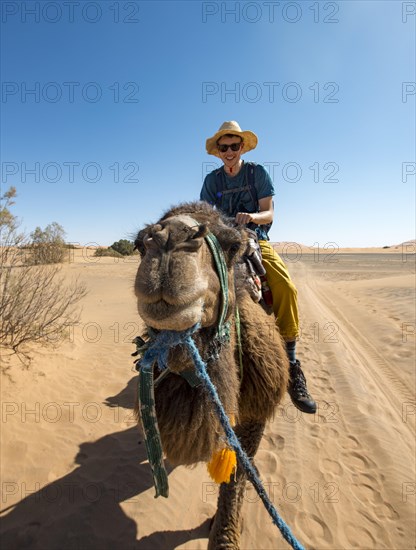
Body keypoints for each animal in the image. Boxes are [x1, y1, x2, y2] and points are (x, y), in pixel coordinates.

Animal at [133, 203, 290, 550]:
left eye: (231, 246)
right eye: (138, 244)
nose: (168, 240)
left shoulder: (256, 410)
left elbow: (238, 471)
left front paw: (224, 535)